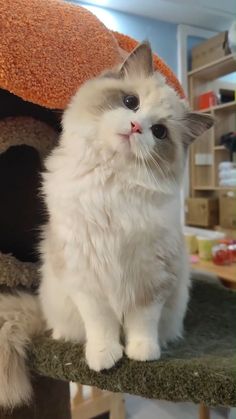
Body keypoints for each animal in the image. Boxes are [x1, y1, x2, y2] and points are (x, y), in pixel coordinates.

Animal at [39, 41, 214, 372]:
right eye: (131, 102)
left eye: (159, 132)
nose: (135, 127)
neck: (113, 184)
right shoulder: (86, 279)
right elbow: (102, 325)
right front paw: (104, 358)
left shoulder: (152, 277)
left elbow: (141, 323)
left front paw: (142, 353)